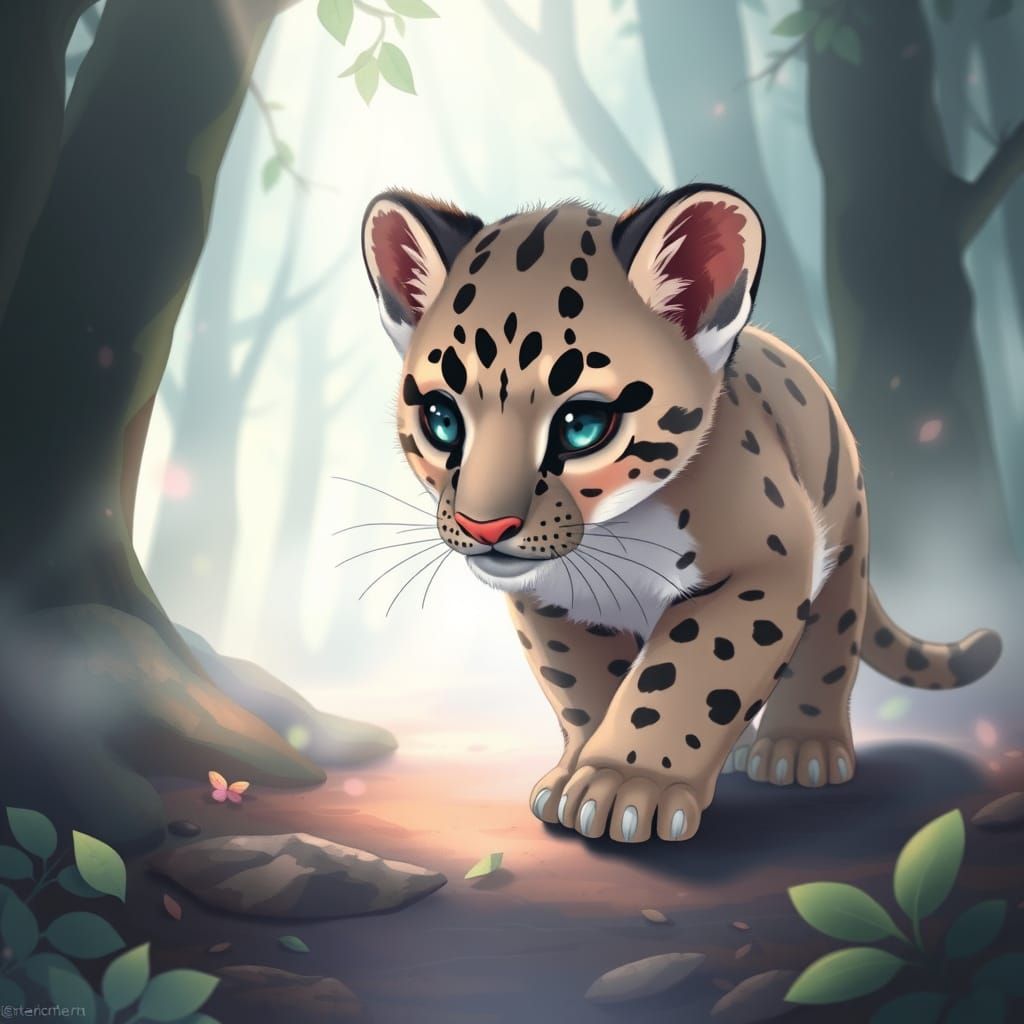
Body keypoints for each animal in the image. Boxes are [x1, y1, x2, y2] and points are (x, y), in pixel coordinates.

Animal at [359, 184, 1003, 843]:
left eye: (581, 425)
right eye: (442, 418)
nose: (483, 527)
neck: (614, 536)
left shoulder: (763, 568)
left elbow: (684, 673)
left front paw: (625, 784)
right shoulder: (553, 599)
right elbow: (584, 686)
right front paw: (580, 775)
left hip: (844, 540)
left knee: (829, 643)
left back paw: (800, 749)